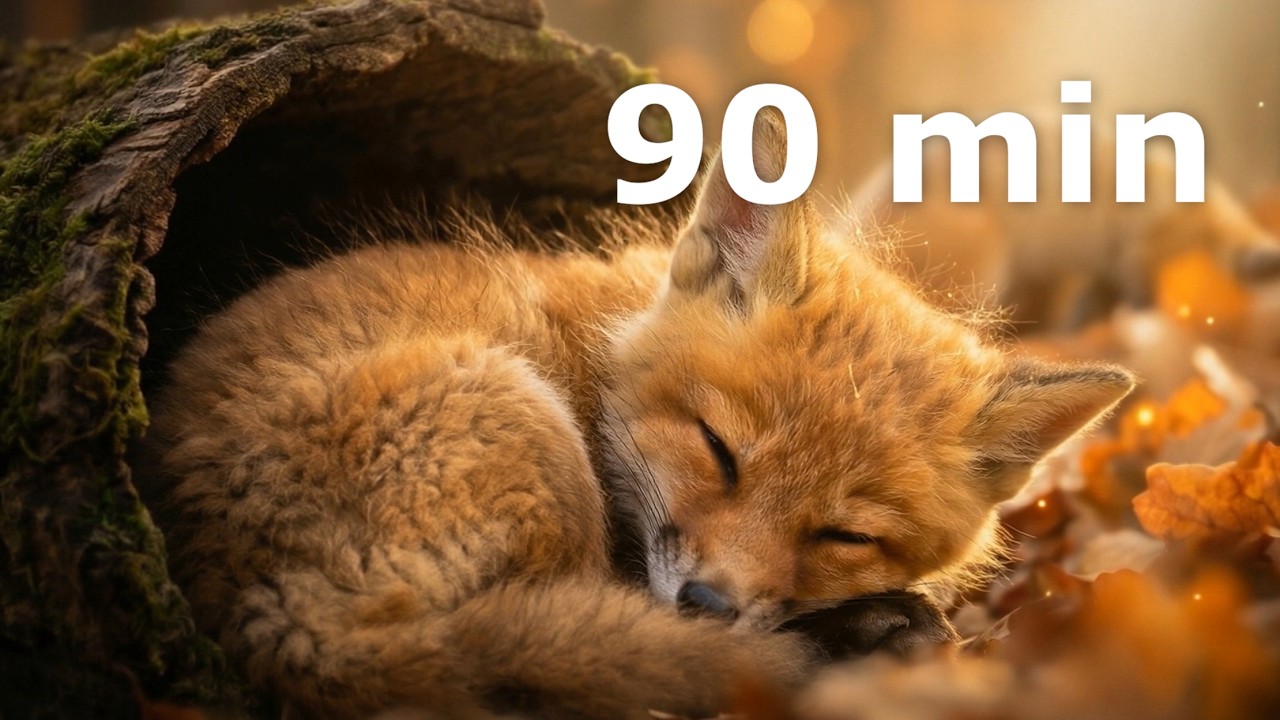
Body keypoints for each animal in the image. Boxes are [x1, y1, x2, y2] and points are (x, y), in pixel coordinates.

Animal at [136, 112, 1135, 719]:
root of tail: (277, 617)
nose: (707, 602)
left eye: (843, 535)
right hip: (531, 439)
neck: (597, 356)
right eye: (719, 452)